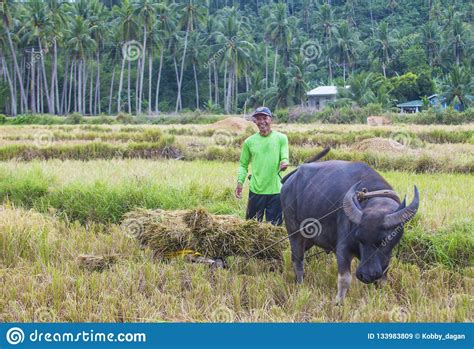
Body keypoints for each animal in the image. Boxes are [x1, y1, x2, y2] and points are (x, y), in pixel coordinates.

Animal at [282, 150, 418, 302]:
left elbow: (382, 280)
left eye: (385, 240)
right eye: (359, 238)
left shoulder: (386, 256)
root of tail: (291, 178)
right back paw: (300, 284)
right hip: (294, 232)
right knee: (298, 259)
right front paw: (338, 302)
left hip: (309, 239)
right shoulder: (343, 248)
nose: (366, 275)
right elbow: (345, 279)